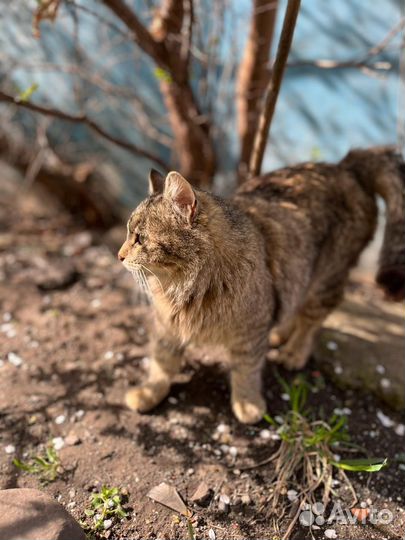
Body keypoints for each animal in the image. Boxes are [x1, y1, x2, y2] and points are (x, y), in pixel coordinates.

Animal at [118, 147, 402, 422]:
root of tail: (345, 166)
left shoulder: (249, 334)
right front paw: (149, 392)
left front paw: (247, 404)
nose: (119, 255)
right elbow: (161, 364)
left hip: (325, 280)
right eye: (128, 232)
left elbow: (246, 372)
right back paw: (280, 333)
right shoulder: (167, 327)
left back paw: (294, 352)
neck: (184, 286)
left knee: (312, 321)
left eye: (140, 239)